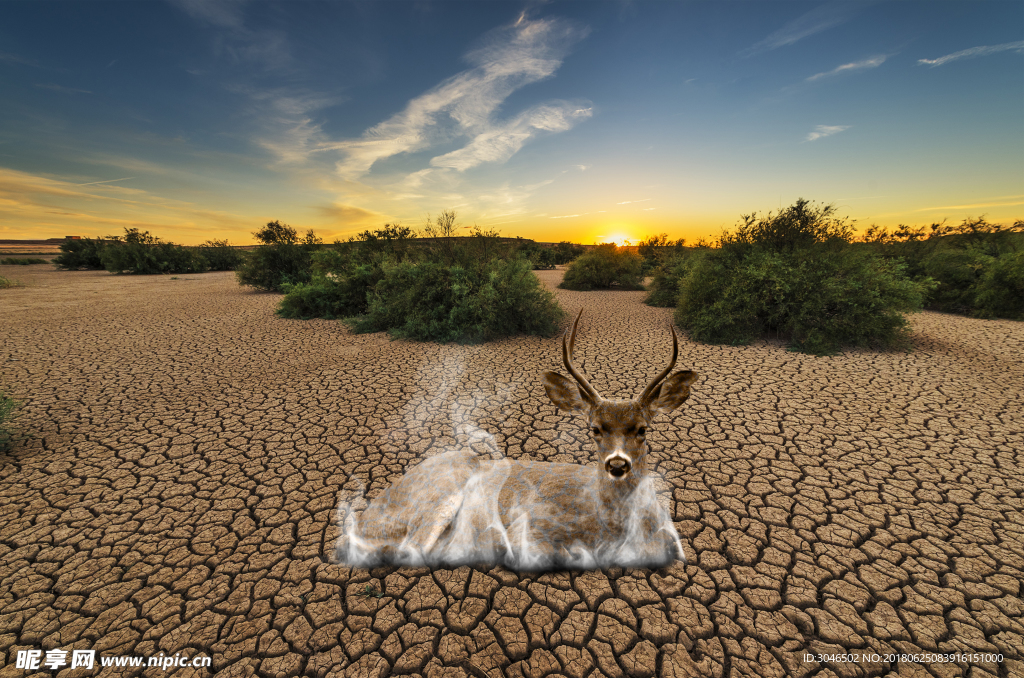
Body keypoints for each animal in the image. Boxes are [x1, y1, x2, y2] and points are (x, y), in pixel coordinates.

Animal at [339, 311, 700, 569]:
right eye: (595, 428)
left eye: (642, 429)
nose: (617, 464)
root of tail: (369, 514)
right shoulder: (531, 525)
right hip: (441, 491)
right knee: (410, 549)